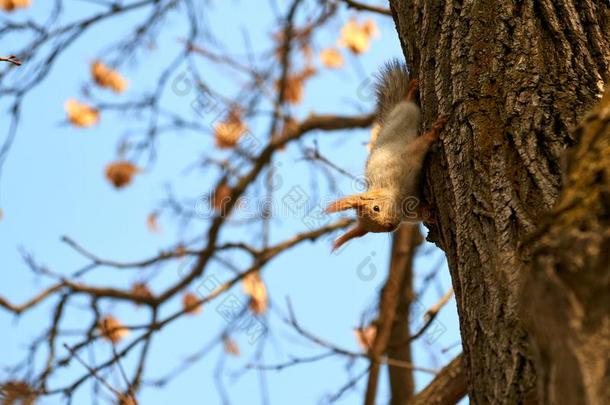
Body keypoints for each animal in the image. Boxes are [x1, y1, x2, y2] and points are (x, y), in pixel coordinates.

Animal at [326, 60, 444, 249]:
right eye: (375, 231)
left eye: (376, 208)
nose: (389, 226)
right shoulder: (410, 211)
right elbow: (420, 212)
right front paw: (428, 213)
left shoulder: (403, 160)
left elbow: (419, 146)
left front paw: (435, 131)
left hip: (403, 113)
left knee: (406, 103)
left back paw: (411, 90)